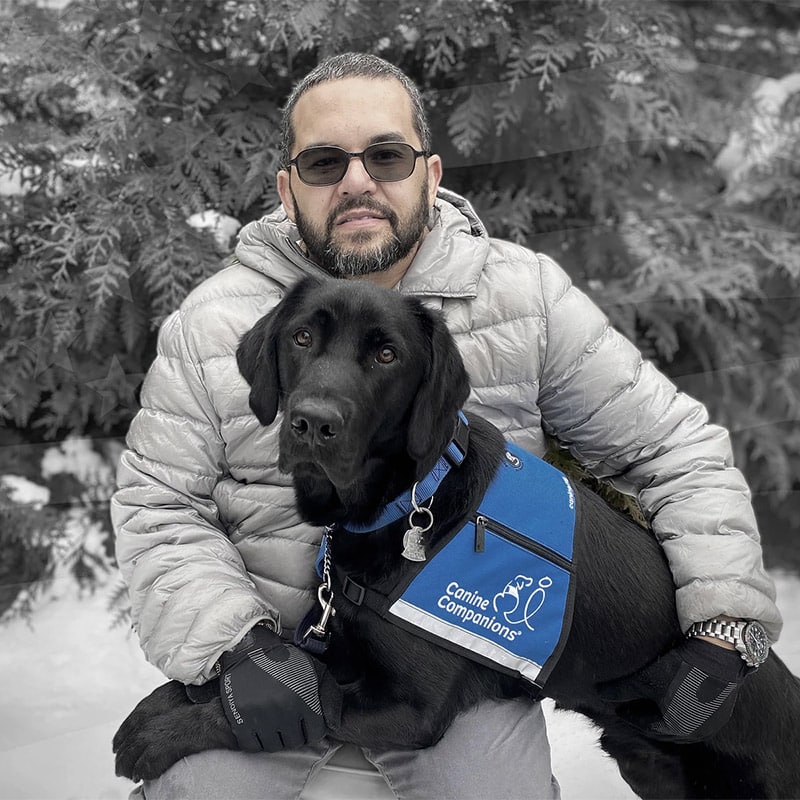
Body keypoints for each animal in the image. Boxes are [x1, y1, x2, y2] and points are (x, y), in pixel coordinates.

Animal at [115, 278, 800, 796]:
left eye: (387, 355)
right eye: (302, 336)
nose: (312, 422)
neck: (407, 501)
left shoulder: (409, 709)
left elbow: (313, 702)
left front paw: (161, 733)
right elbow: (277, 663)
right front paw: (181, 695)